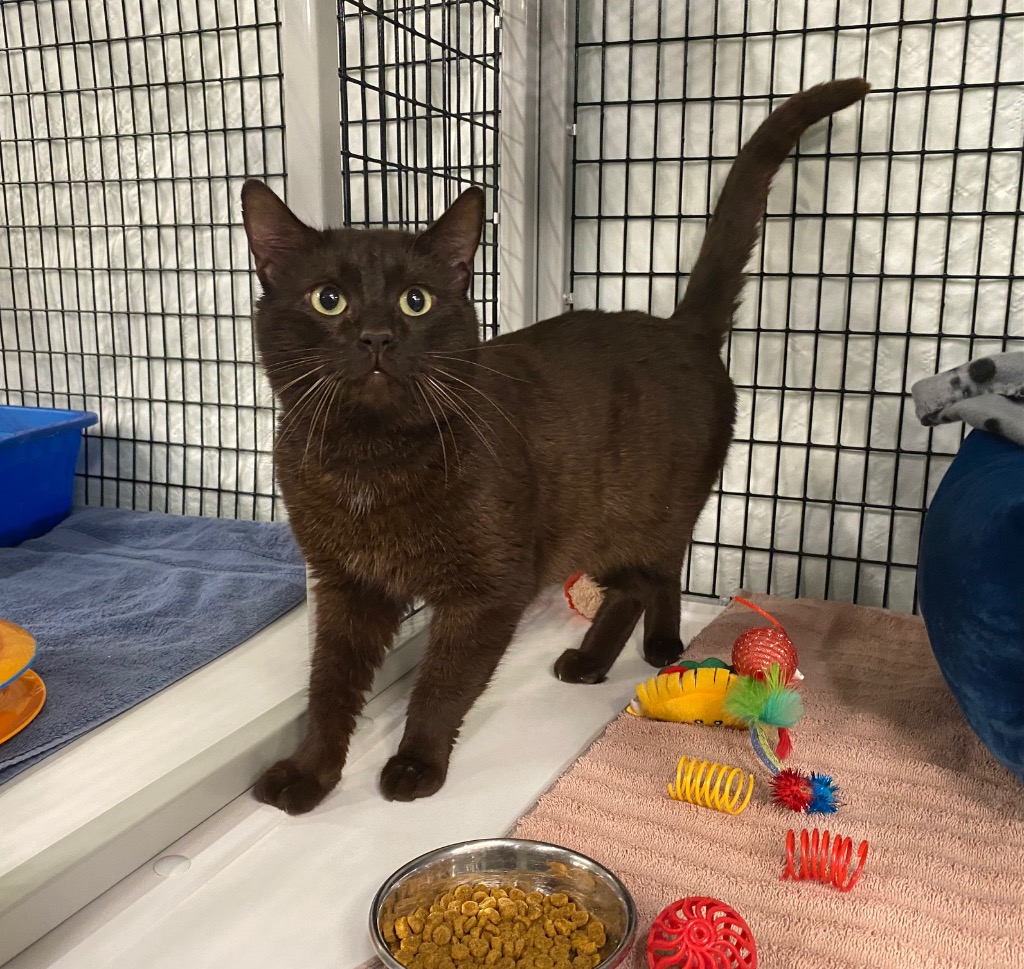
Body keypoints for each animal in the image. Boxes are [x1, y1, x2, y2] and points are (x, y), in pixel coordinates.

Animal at [241, 78, 869, 814]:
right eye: (329, 299)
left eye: (416, 300)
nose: (376, 334)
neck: (369, 461)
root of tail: (682, 329)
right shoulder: (346, 585)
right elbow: (330, 685)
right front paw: (309, 772)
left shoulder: (490, 588)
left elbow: (443, 682)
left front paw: (416, 762)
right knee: (646, 577)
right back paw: (604, 657)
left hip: (634, 514)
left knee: (657, 570)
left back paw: (650, 646)